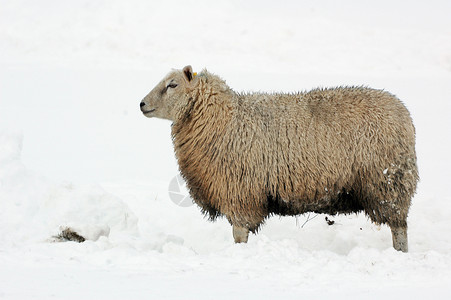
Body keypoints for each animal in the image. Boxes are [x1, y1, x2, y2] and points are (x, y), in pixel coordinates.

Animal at [141, 66, 420, 253]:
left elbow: (239, 234)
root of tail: (404, 113)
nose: (142, 104)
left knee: (399, 226)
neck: (224, 119)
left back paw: (400, 254)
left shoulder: (241, 194)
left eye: (173, 85)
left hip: (388, 183)